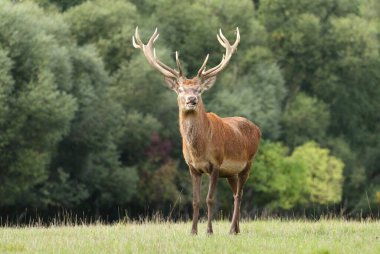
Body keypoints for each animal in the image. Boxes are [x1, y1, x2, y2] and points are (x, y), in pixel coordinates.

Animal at [132, 26, 260, 235]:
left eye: (199, 90)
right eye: (180, 89)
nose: (191, 100)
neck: (199, 149)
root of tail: (257, 128)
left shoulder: (216, 163)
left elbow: (210, 199)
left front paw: (209, 231)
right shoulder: (192, 167)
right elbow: (195, 200)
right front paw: (193, 231)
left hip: (248, 162)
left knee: (239, 195)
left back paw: (232, 229)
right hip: (231, 173)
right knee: (236, 194)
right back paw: (236, 229)